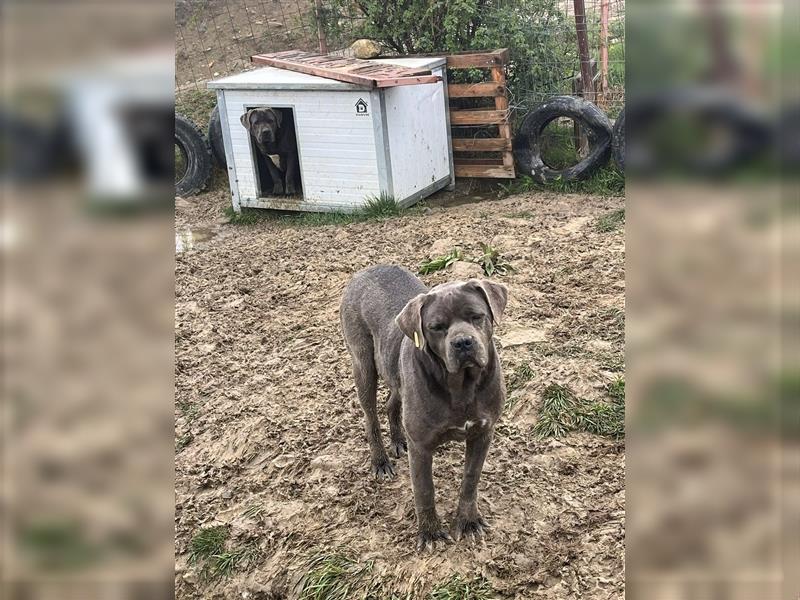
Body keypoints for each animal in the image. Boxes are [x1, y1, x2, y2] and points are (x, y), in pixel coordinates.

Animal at [340, 264, 506, 552]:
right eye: (436, 327)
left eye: (477, 316)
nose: (463, 342)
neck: (461, 385)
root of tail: (366, 270)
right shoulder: (421, 447)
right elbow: (424, 489)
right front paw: (430, 533)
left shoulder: (483, 433)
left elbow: (471, 478)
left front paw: (468, 521)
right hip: (363, 365)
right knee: (370, 418)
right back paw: (380, 461)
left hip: (394, 373)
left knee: (392, 403)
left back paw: (398, 441)